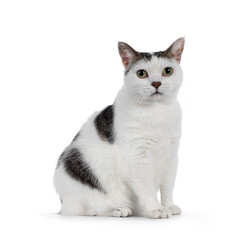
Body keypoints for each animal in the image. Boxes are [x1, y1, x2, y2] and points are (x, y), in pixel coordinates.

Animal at [54, 37, 185, 218]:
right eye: (141, 73)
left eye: (167, 71)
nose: (156, 83)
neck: (157, 111)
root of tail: (62, 202)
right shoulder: (137, 159)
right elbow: (147, 189)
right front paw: (155, 209)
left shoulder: (171, 156)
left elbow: (168, 187)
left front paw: (169, 205)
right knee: (89, 210)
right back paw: (119, 209)